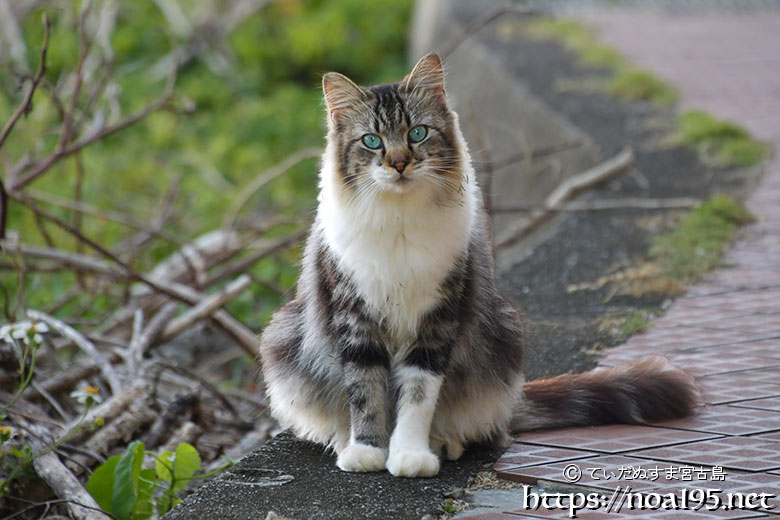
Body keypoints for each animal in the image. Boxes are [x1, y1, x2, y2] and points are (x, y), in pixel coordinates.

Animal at [258, 53, 696, 480]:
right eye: (372, 141)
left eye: (417, 134)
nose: (399, 163)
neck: (399, 220)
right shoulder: (355, 316)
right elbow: (366, 392)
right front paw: (368, 450)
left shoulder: (438, 318)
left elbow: (418, 395)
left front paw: (410, 454)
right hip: (286, 336)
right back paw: (344, 441)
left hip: (505, 334)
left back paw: (444, 444)